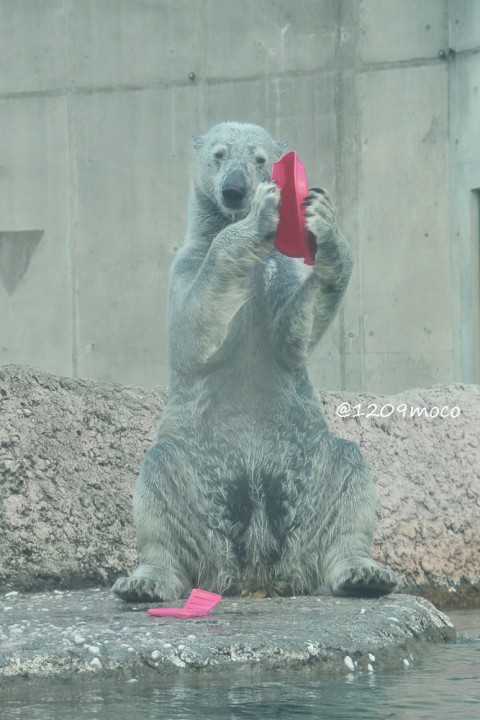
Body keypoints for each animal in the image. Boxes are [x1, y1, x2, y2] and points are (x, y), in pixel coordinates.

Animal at [111, 122, 398, 600]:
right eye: (219, 154)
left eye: (260, 158)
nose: (234, 190)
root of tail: (253, 571)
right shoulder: (185, 266)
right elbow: (194, 331)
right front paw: (261, 213)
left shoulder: (278, 276)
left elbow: (290, 337)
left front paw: (324, 220)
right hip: (194, 475)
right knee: (158, 488)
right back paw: (146, 581)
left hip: (309, 471)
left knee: (349, 476)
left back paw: (363, 574)